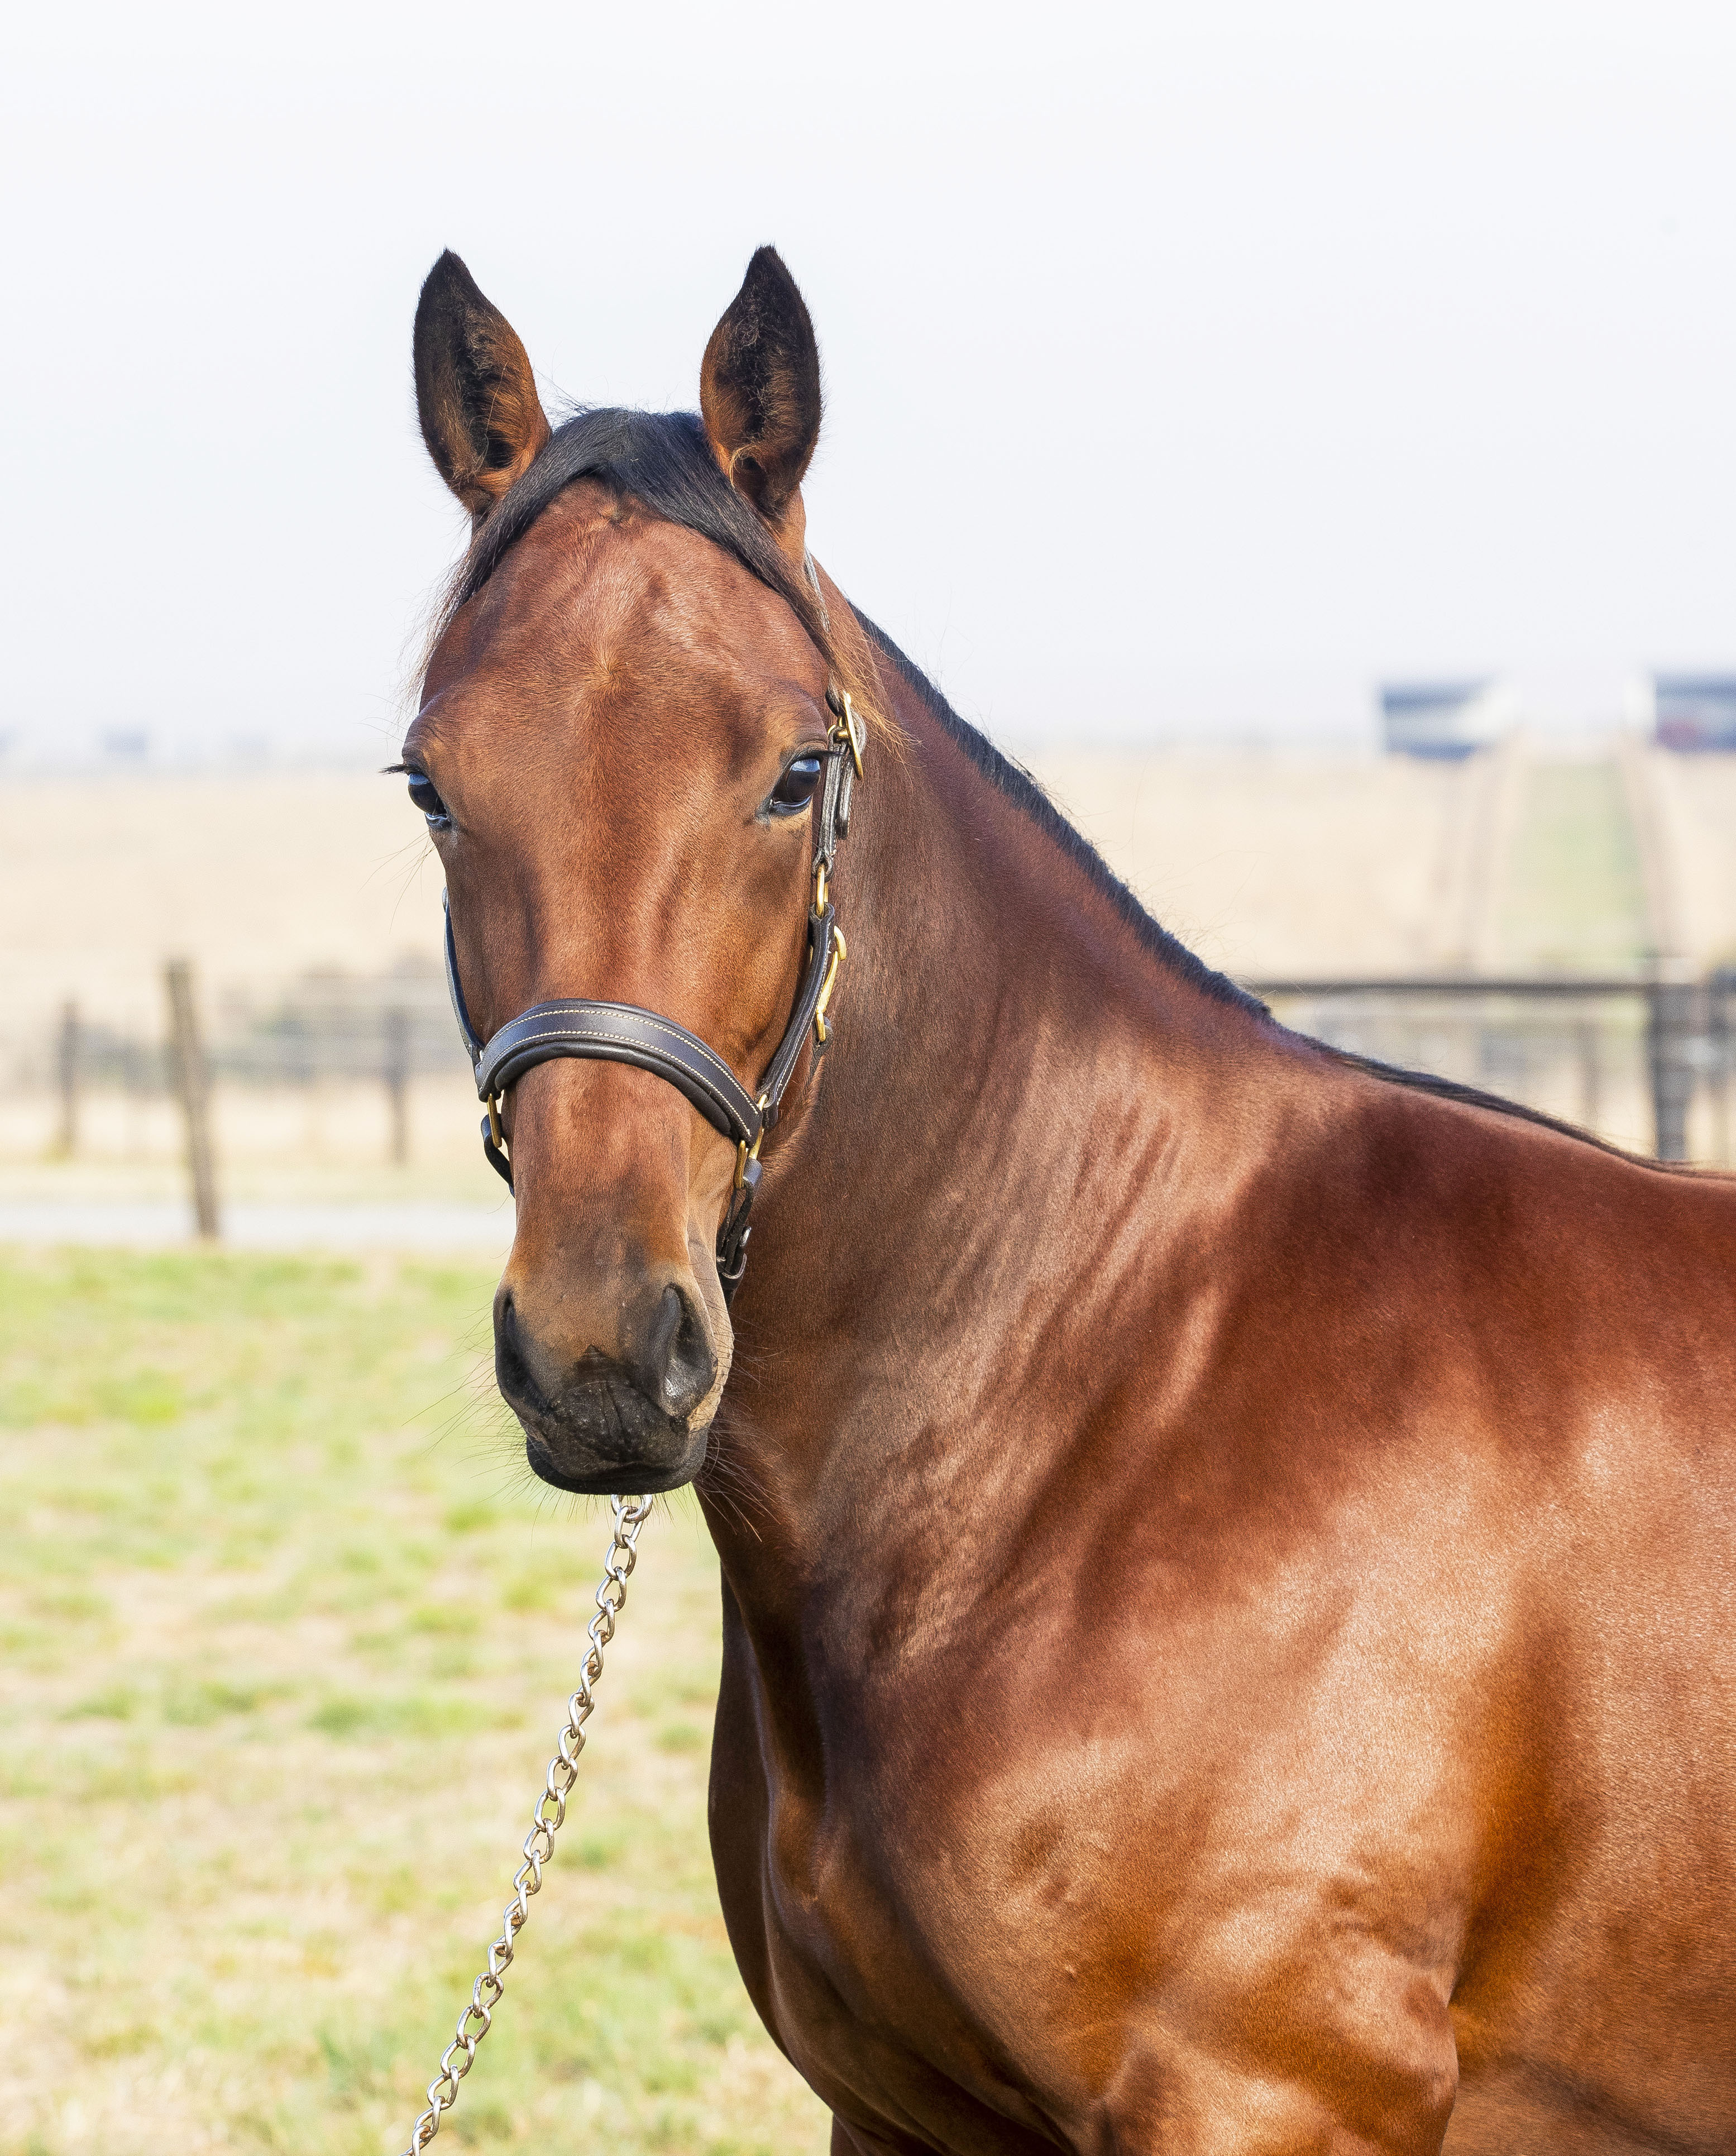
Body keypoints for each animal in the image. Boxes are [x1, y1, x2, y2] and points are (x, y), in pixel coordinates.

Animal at [402, 245, 1736, 2154]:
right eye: (431, 784)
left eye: (792, 772)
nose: (600, 1357)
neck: (1115, 1394)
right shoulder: (896, 2116)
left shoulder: (1265, 2097)